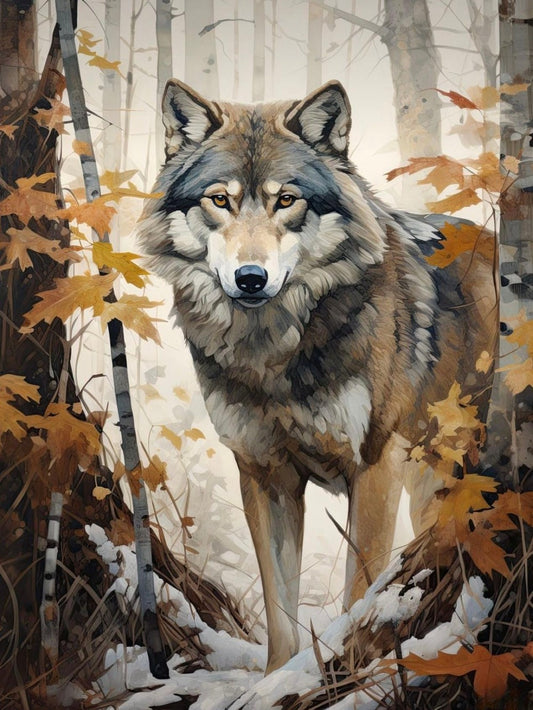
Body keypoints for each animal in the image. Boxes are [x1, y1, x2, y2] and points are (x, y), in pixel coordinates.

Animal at [138, 79, 497, 673]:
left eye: (287, 200)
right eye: (220, 200)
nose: (251, 278)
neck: (273, 356)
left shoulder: (376, 463)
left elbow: (359, 593)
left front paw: (345, 677)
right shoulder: (264, 473)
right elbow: (280, 610)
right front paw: (275, 679)